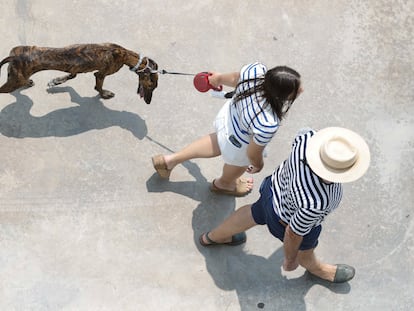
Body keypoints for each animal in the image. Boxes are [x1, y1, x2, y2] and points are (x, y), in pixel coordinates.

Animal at [0, 43, 158, 104]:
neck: (124, 54)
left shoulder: (76, 68)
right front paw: (104, 94)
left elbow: (72, 75)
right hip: (13, 83)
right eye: (153, 86)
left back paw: (28, 82)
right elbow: (98, 87)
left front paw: (57, 81)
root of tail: (13, 57)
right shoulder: (101, 74)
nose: (149, 102)